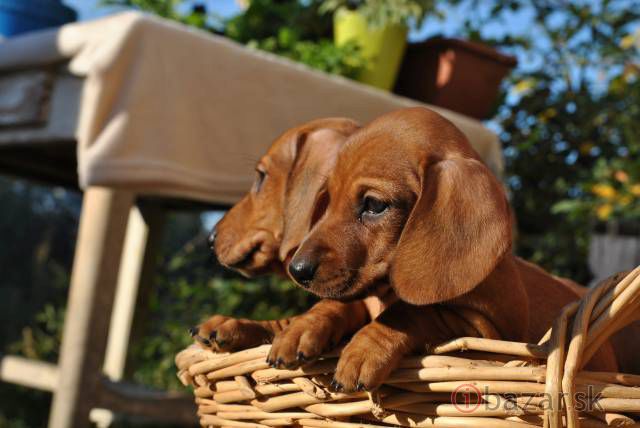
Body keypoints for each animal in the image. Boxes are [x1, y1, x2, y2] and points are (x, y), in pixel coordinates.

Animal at [287, 107, 622, 392]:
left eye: (374, 205)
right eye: (328, 199)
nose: (296, 270)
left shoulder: (486, 335)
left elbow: (413, 311)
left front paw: (364, 347)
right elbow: (343, 304)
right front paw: (303, 326)